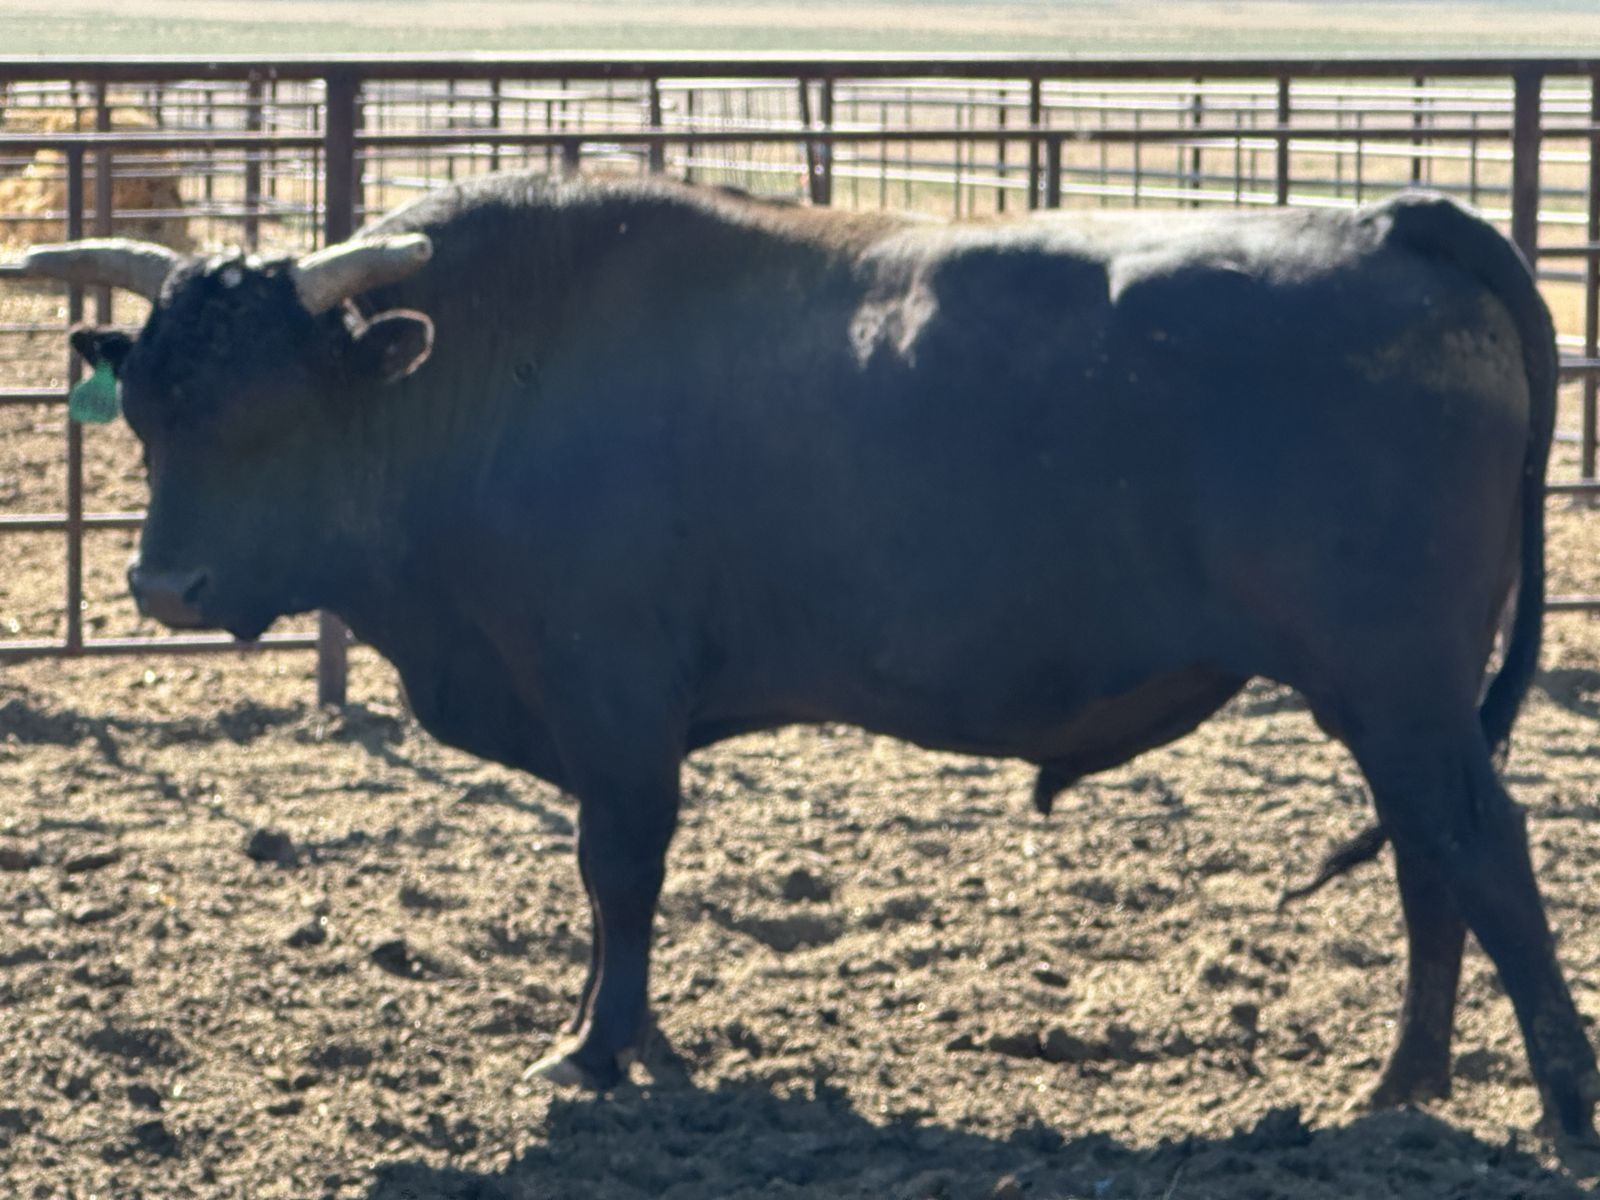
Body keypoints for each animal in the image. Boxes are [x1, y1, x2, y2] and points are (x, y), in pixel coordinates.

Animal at [17, 173, 1598, 1136]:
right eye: (147, 408)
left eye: (272, 407)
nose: (163, 585)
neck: (490, 376)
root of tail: (1391, 223)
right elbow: (610, 894)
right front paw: (614, 1036)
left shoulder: (612, 699)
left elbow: (619, 871)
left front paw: (598, 1053)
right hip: (1393, 701)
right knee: (1429, 856)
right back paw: (1402, 1084)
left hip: (1396, 686)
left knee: (1482, 850)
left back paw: (1556, 1098)